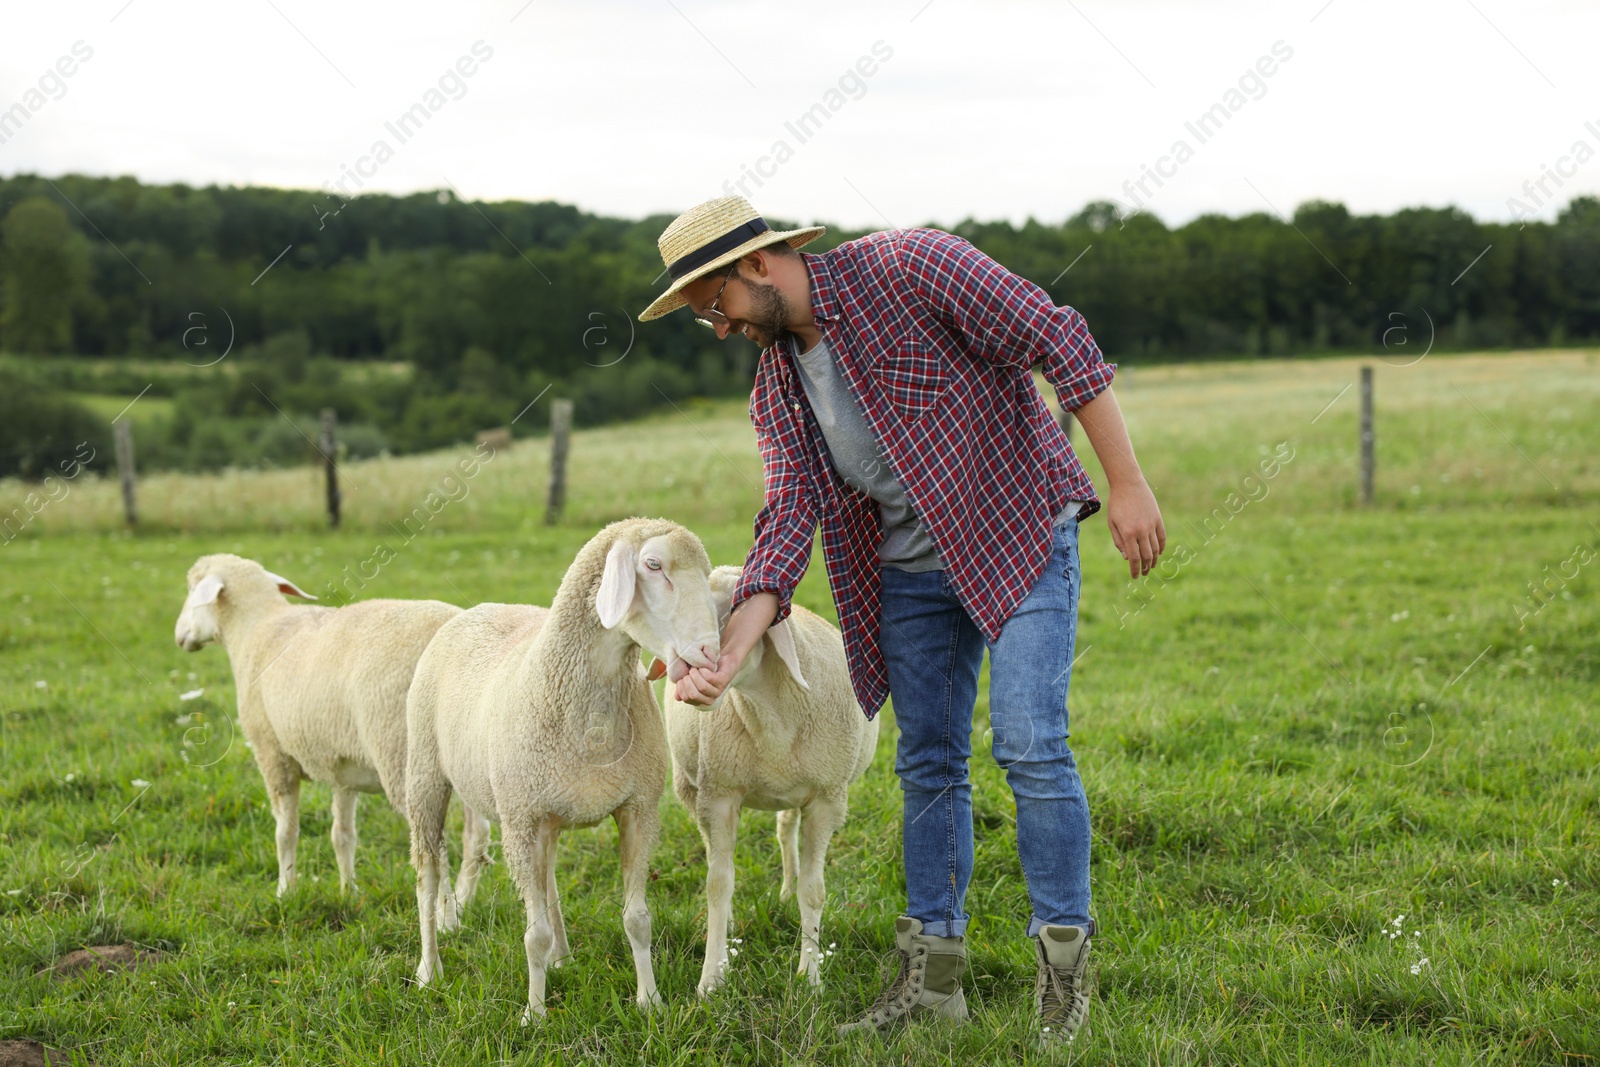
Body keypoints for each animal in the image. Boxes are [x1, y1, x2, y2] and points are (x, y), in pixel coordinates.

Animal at [173, 550, 486, 921]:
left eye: (191, 590)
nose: (178, 635)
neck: (257, 629)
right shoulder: (342, 763)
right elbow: (343, 835)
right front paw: (348, 891)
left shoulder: (272, 753)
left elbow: (285, 832)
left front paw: (285, 891)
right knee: (476, 833)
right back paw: (464, 905)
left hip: (401, 751)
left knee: (434, 844)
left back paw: (446, 917)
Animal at [403, 521, 723, 1023]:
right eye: (653, 565)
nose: (710, 653)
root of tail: (474, 609)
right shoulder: (518, 820)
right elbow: (531, 934)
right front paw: (534, 1015)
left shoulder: (638, 810)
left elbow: (638, 920)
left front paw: (649, 1001)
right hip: (426, 777)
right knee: (427, 876)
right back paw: (428, 970)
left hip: (544, 813)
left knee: (547, 876)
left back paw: (562, 956)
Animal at [665, 563, 889, 998]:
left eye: (732, 608)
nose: (682, 666)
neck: (771, 714)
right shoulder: (719, 796)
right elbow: (718, 885)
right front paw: (712, 978)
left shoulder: (827, 800)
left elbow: (814, 891)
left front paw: (811, 977)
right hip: (693, 788)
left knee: (786, 831)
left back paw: (786, 894)